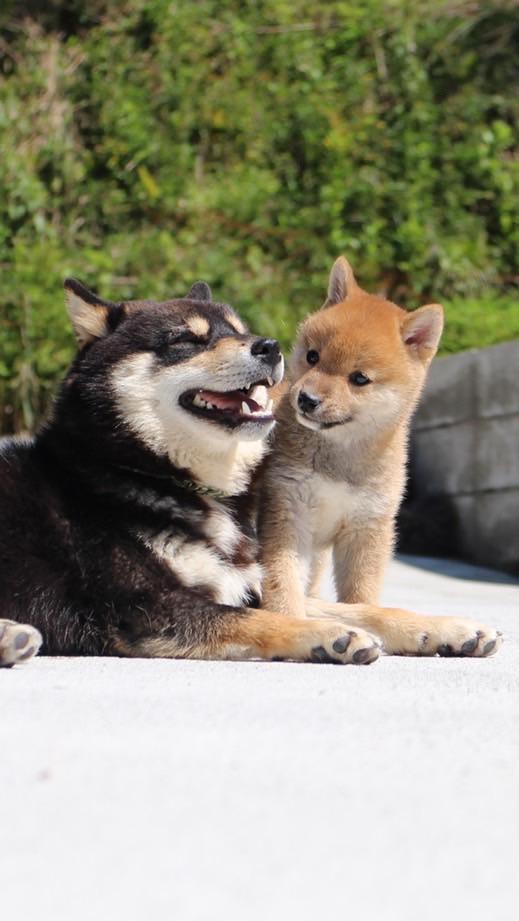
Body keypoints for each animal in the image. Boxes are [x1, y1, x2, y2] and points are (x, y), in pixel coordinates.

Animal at [260, 255, 504, 656]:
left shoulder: (368, 527)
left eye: (359, 378)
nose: (306, 399)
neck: (339, 462)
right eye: (312, 356)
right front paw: (297, 627)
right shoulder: (287, 514)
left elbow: (361, 599)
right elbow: (284, 591)